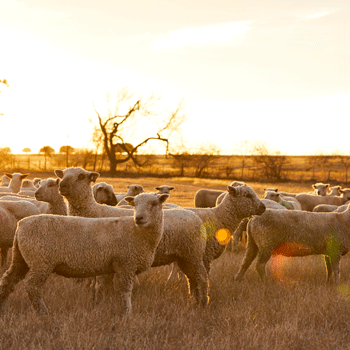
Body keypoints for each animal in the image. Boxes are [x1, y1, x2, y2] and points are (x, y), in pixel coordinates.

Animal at [0, 193, 168, 316]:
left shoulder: (115, 266)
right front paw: (127, 314)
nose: (139, 218)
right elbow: (125, 291)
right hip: (41, 261)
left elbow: (105, 287)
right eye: (135, 205)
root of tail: (21, 225)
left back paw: (4, 308)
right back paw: (43, 313)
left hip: (20, 258)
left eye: (154, 204)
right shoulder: (126, 264)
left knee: (8, 281)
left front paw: (101, 306)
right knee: (32, 286)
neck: (137, 232)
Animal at [54, 168, 208, 304]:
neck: (94, 211)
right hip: (184, 256)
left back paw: (202, 302)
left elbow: (100, 284)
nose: (62, 186)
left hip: (193, 254)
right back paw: (193, 299)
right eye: (63, 174)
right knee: (192, 278)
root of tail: (195, 216)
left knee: (201, 277)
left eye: (81, 176)